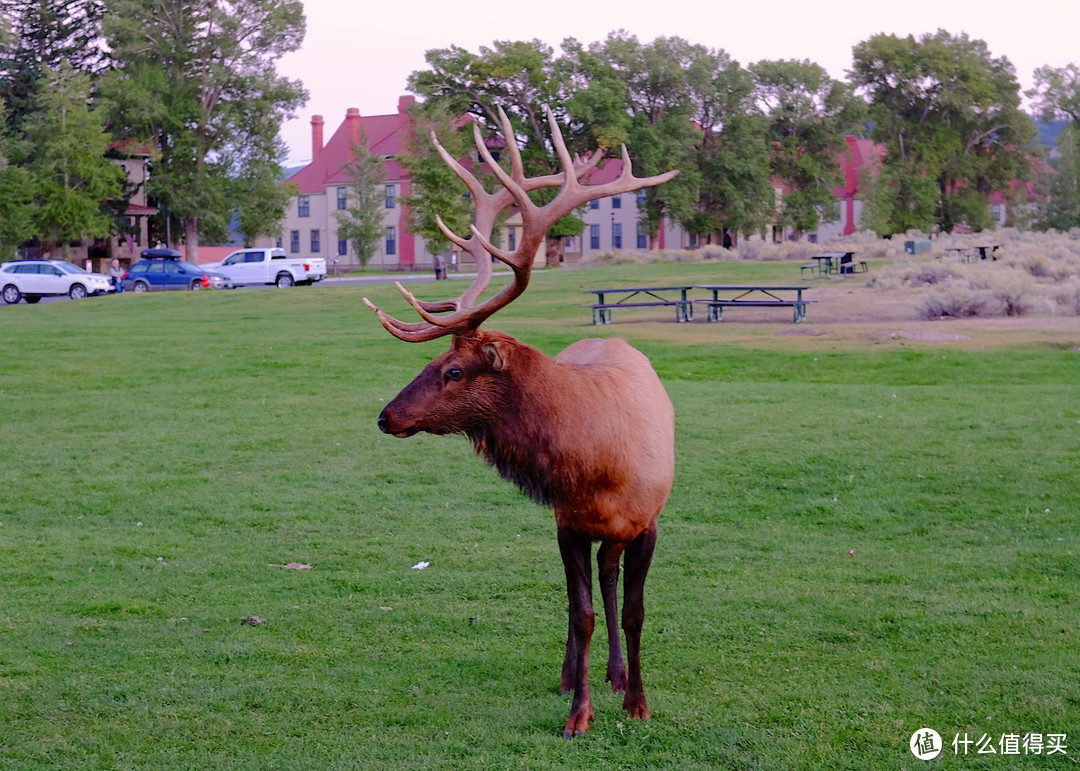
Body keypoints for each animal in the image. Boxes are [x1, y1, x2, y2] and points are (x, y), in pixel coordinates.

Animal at [367, 105, 678, 734]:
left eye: (453, 369)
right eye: (432, 362)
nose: (387, 417)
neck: (597, 465)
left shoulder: (648, 521)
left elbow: (634, 612)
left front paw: (637, 702)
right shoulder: (568, 523)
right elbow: (581, 613)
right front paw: (579, 712)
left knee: (610, 582)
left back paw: (617, 675)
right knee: (587, 593)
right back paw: (575, 674)